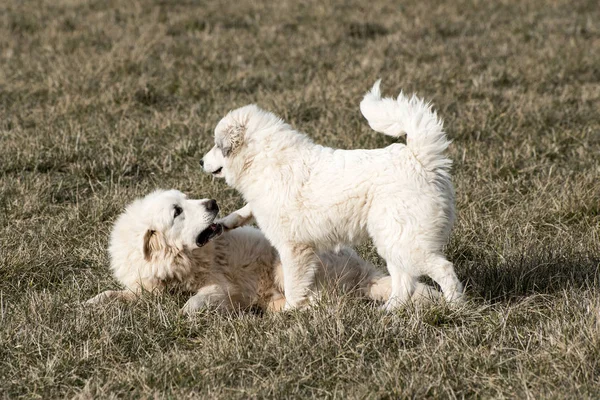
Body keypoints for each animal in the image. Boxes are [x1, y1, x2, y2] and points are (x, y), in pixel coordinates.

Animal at [86, 190, 436, 312]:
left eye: (184, 200)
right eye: (177, 211)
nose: (213, 203)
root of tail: (365, 271)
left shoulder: (222, 286)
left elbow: (198, 300)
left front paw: (185, 312)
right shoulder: (146, 287)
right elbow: (118, 294)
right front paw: (94, 302)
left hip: (287, 262)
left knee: (318, 302)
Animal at [203, 80, 464, 310]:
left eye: (217, 145)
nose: (200, 161)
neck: (263, 159)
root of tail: (419, 158)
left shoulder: (293, 248)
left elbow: (294, 284)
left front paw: (290, 310)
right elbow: (247, 209)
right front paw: (226, 222)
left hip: (407, 241)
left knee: (443, 269)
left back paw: (454, 307)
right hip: (393, 239)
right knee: (404, 281)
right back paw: (389, 311)